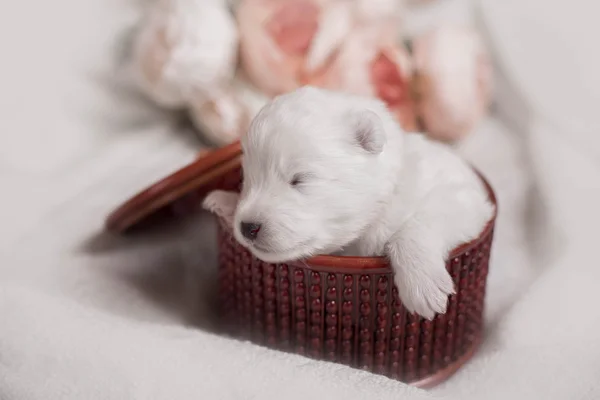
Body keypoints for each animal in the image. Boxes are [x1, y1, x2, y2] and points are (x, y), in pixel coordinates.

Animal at [204, 86, 494, 320]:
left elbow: (418, 225)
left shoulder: (464, 200)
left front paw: (422, 285)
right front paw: (223, 200)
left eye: (299, 179)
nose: (248, 227)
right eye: (246, 177)